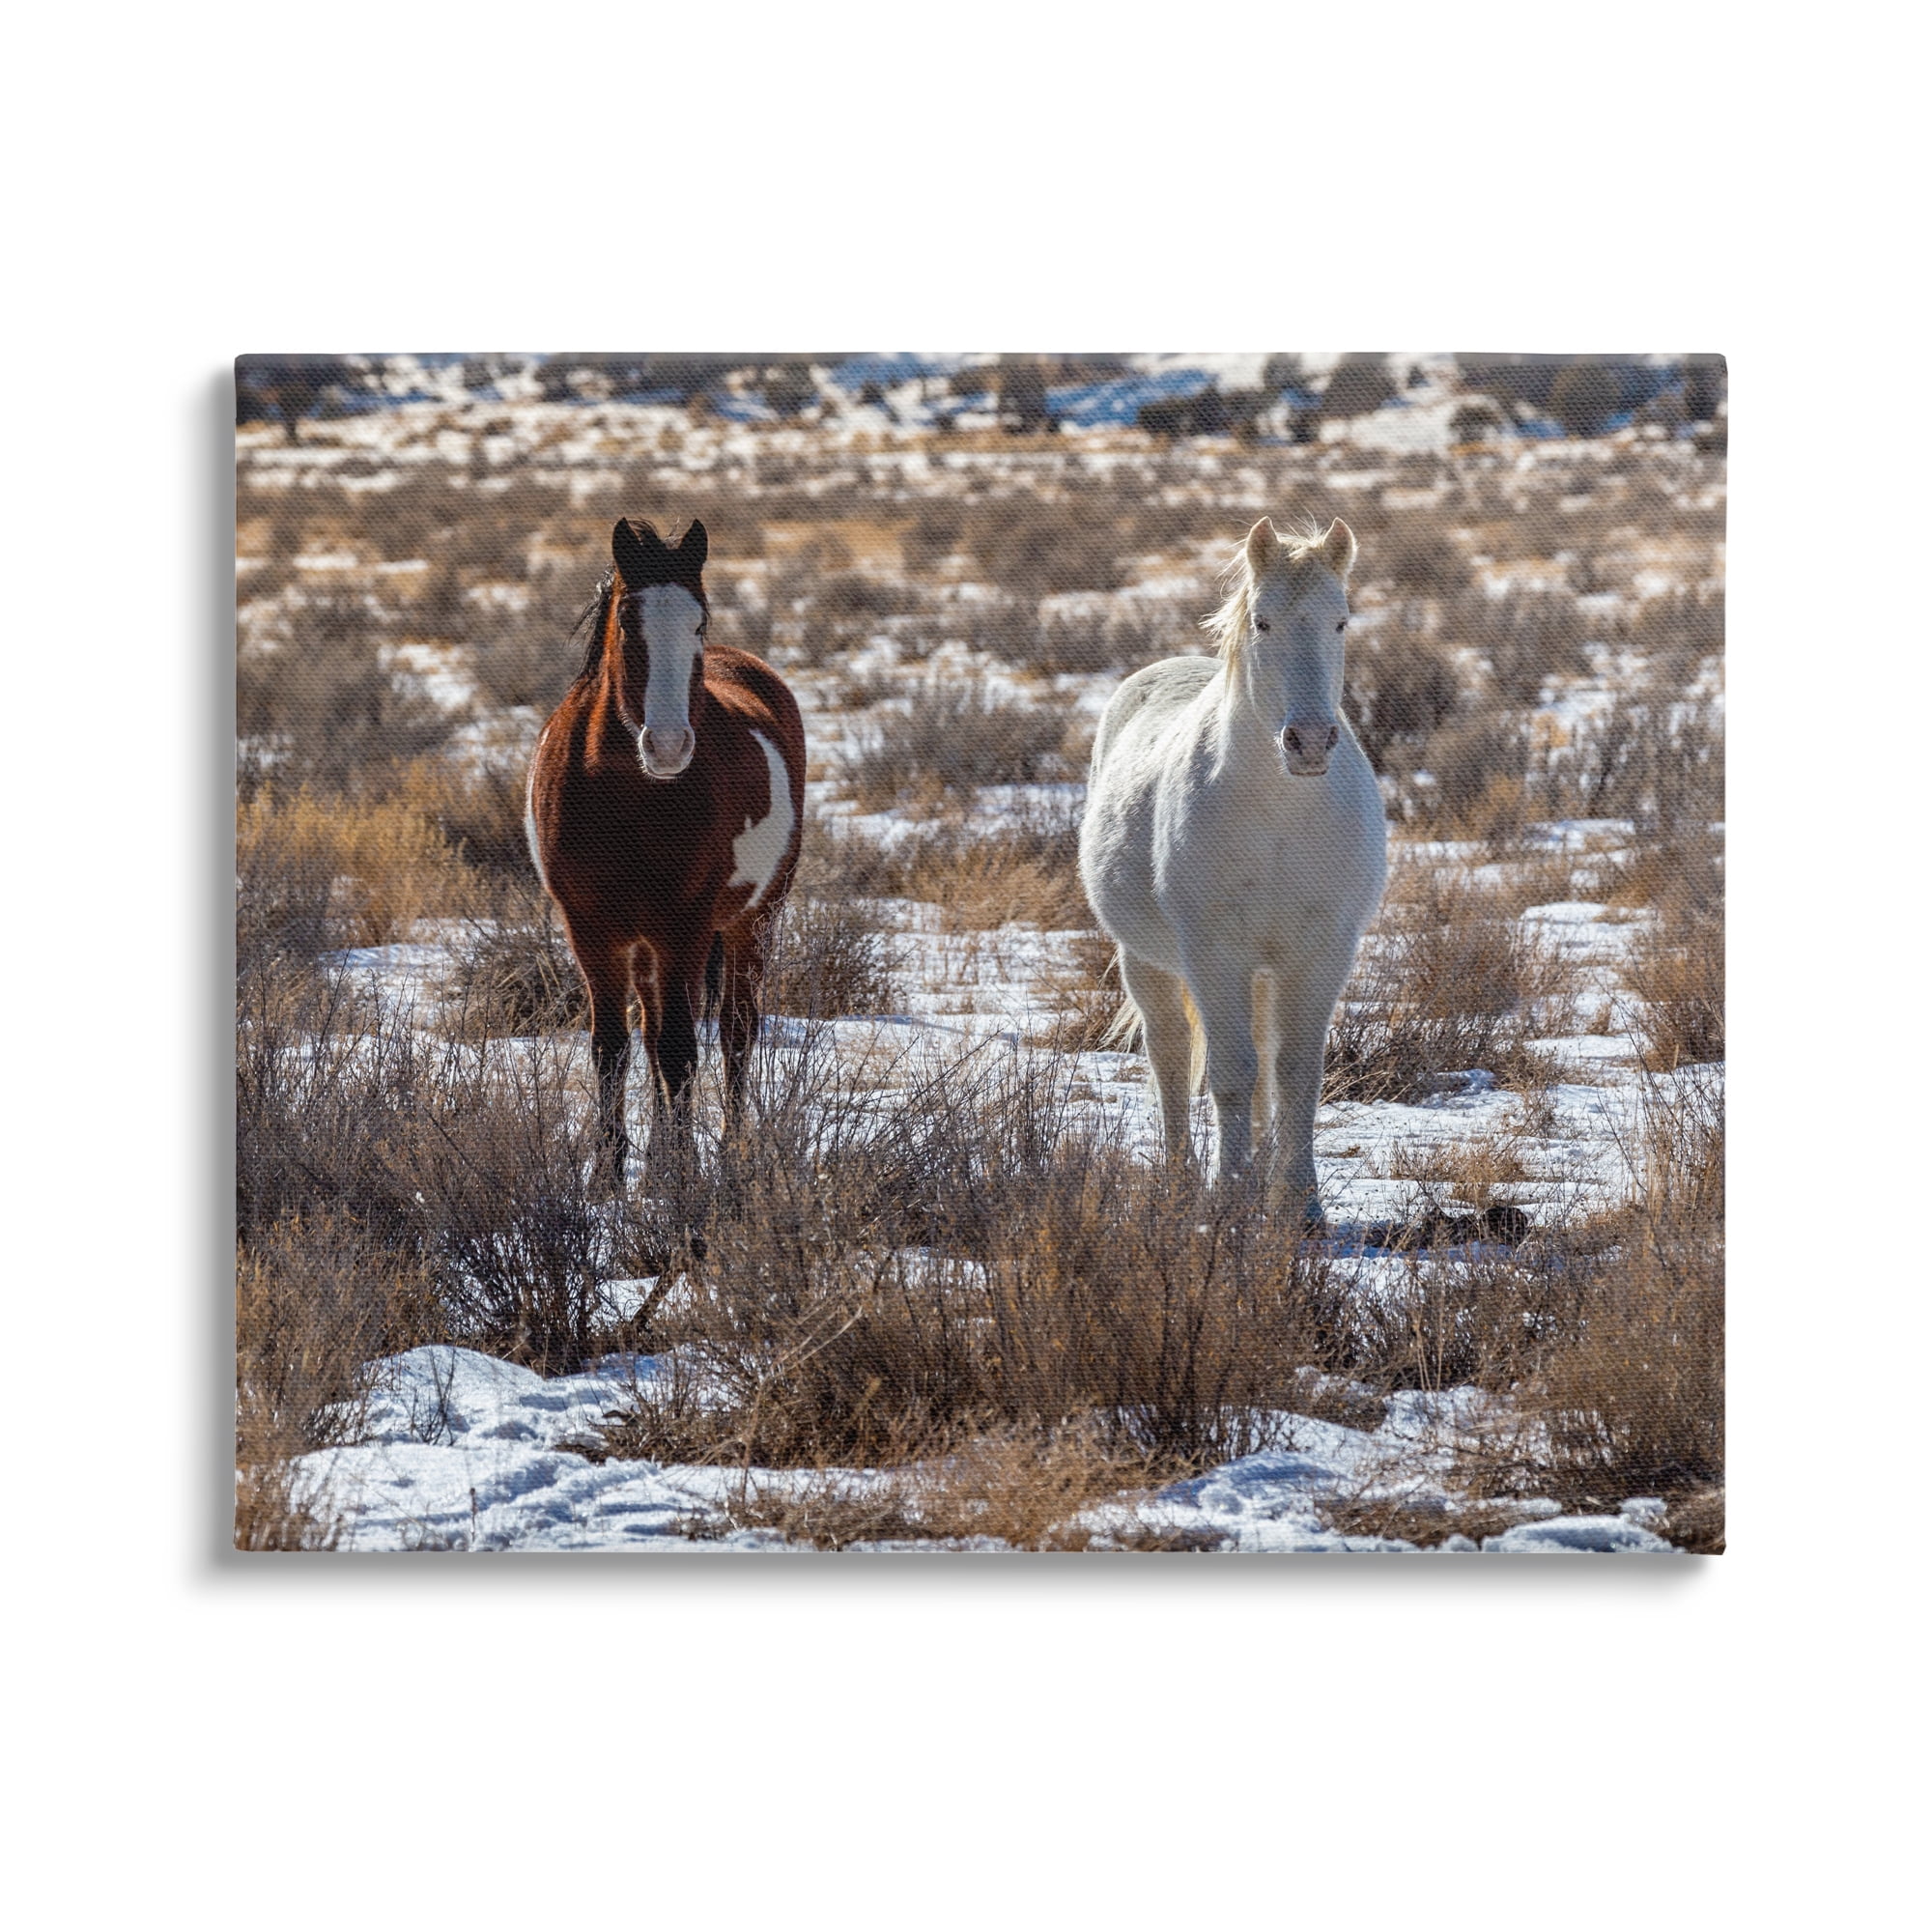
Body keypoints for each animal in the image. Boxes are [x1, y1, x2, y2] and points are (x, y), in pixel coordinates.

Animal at [526, 518, 806, 1181]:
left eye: (699, 621)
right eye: (628, 620)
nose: (670, 745)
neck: (627, 797)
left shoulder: (685, 927)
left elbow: (681, 1050)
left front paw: (681, 1177)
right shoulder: (592, 930)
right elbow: (614, 1047)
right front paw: (609, 1175)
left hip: (752, 920)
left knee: (735, 1033)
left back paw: (727, 1150)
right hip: (649, 945)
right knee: (654, 1032)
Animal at [1077, 516, 1387, 1225]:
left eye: (1341, 621)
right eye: (1263, 622)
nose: (1308, 742)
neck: (1279, 811)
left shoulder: (1322, 952)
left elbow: (1295, 1071)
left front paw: (1300, 1204)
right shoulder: (1214, 953)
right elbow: (1230, 1072)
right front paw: (1229, 1197)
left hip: (1267, 971)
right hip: (1148, 961)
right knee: (1168, 1053)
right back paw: (1181, 1178)